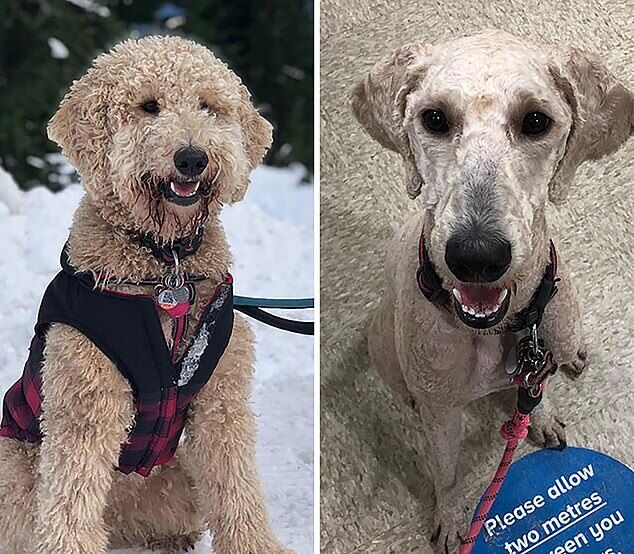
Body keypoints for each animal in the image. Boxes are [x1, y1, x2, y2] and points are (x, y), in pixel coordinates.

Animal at [0, 35, 292, 552]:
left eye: (208, 106)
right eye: (148, 107)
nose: (192, 158)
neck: (163, 266)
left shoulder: (222, 399)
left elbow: (236, 485)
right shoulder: (86, 398)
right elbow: (70, 495)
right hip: (14, 463)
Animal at [354, 31, 628, 552]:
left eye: (536, 121)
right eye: (434, 118)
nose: (477, 257)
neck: (500, 328)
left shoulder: (539, 359)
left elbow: (538, 395)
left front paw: (543, 418)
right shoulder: (443, 416)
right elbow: (447, 474)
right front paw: (452, 521)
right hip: (385, 352)